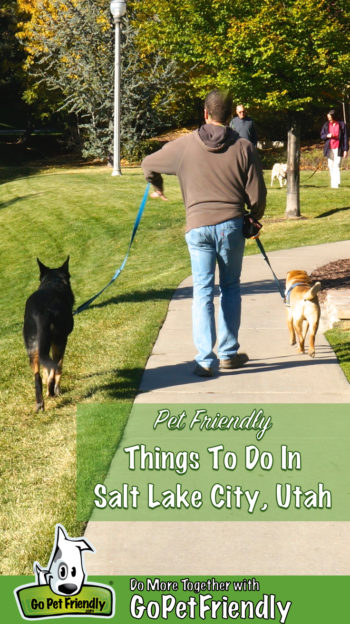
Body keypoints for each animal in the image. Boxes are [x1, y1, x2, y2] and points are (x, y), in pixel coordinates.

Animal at [23, 256, 75, 412]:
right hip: (58, 341)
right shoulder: (62, 341)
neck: (53, 282)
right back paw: (52, 392)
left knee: (37, 377)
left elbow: (45, 369)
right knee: (54, 368)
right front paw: (56, 389)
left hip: (33, 348)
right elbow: (58, 367)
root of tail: (42, 311)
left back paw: (40, 403)